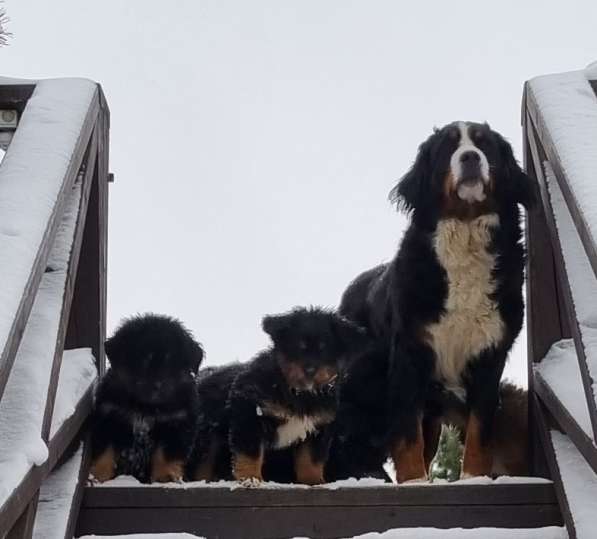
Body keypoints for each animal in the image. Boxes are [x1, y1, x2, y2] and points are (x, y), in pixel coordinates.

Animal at [89, 314, 204, 484]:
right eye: (141, 359)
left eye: (171, 362)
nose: (156, 386)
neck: (146, 407)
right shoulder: (109, 418)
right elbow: (105, 452)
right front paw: (98, 476)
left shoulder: (176, 424)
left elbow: (166, 455)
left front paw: (165, 476)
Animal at [189, 306, 368, 488]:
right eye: (298, 347)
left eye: (324, 349)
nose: (310, 370)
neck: (299, 392)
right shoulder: (249, 416)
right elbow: (250, 453)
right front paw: (250, 479)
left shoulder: (318, 427)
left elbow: (311, 458)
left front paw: (313, 482)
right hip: (206, 439)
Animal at [336, 122, 536, 486]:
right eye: (448, 147)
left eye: (485, 145)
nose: (471, 157)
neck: (467, 233)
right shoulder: (409, 355)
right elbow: (407, 433)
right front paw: (414, 480)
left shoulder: (490, 355)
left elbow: (480, 429)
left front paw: (473, 477)